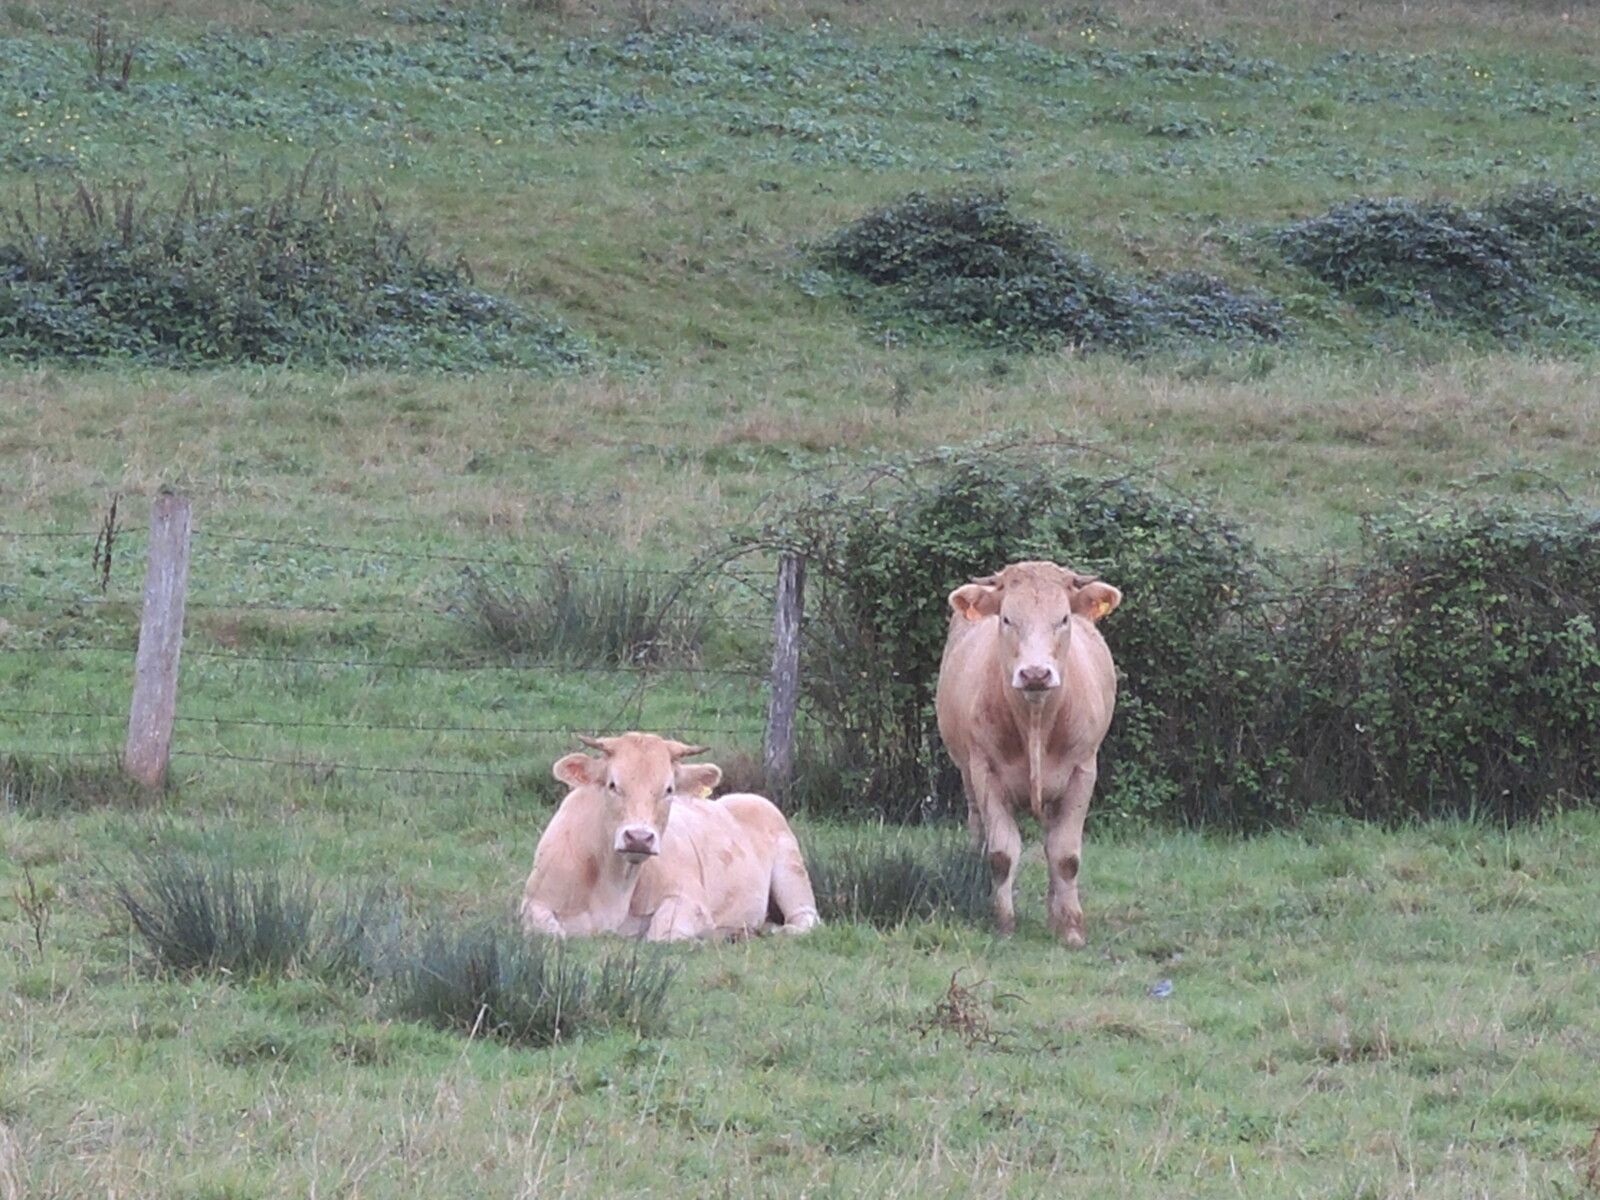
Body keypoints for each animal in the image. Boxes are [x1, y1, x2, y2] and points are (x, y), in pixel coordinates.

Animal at [518, 732, 821, 942]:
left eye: (669, 789)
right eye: (613, 785)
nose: (638, 837)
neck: (613, 886)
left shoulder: (690, 900)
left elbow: (660, 936)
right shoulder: (533, 903)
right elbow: (550, 933)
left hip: (792, 870)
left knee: (806, 918)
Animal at [935, 560, 1122, 947]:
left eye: (1063, 618)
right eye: (1007, 618)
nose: (1035, 673)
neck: (1036, 722)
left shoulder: (1083, 771)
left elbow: (1065, 855)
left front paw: (1070, 926)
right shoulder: (985, 772)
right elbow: (1002, 853)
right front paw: (1003, 922)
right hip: (967, 775)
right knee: (979, 831)